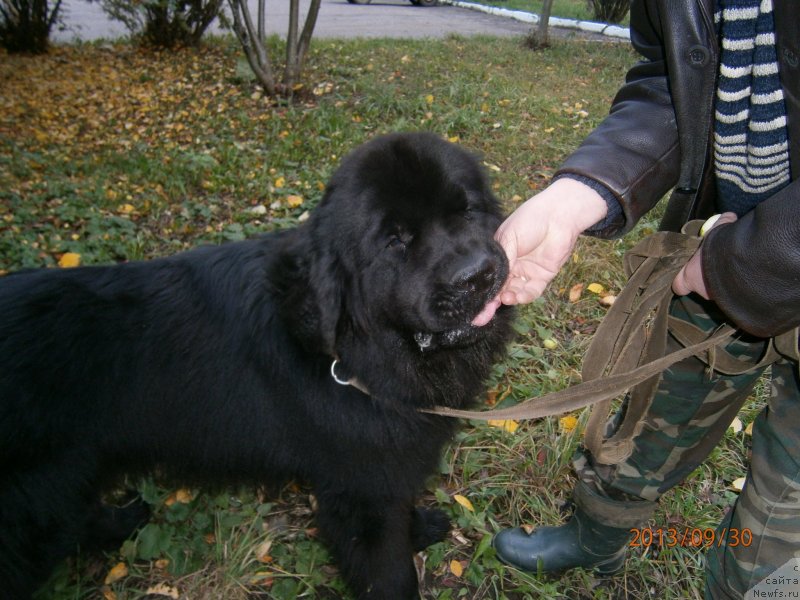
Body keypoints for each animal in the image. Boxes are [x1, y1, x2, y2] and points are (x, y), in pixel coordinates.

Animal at [0, 134, 512, 596]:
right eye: (394, 240)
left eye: (466, 210)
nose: (476, 275)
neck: (356, 357)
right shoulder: (361, 493)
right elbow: (387, 572)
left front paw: (418, 528)